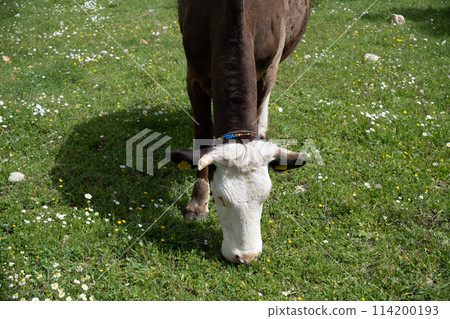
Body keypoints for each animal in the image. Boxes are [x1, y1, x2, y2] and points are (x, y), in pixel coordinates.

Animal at [171, 0, 312, 264]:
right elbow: (201, 136)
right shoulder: (194, 76)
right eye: (220, 198)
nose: (246, 256)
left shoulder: (268, 70)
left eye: (265, 197)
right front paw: (198, 202)